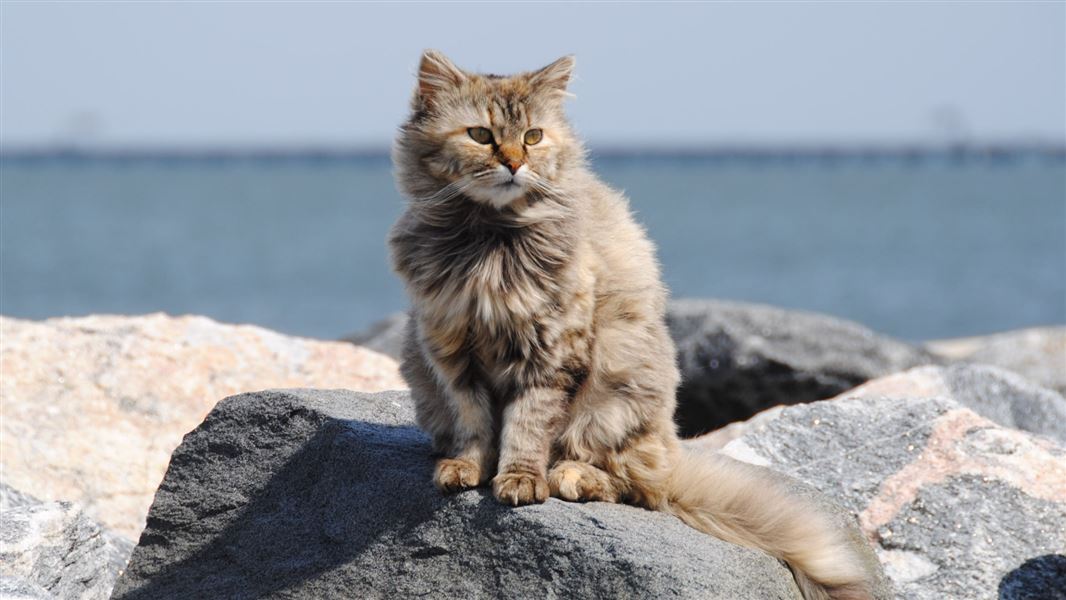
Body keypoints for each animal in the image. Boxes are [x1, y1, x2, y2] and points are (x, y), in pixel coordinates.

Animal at [390, 50, 874, 600]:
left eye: (532, 137)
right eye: (481, 135)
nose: (514, 163)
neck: (489, 243)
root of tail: (670, 453)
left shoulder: (551, 353)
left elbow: (527, 426)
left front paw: (519, 480)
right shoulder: (450, 350)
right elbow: (472, 423)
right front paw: (466, 469)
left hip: (616, 392)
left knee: (635, 487)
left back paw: (573, 477)